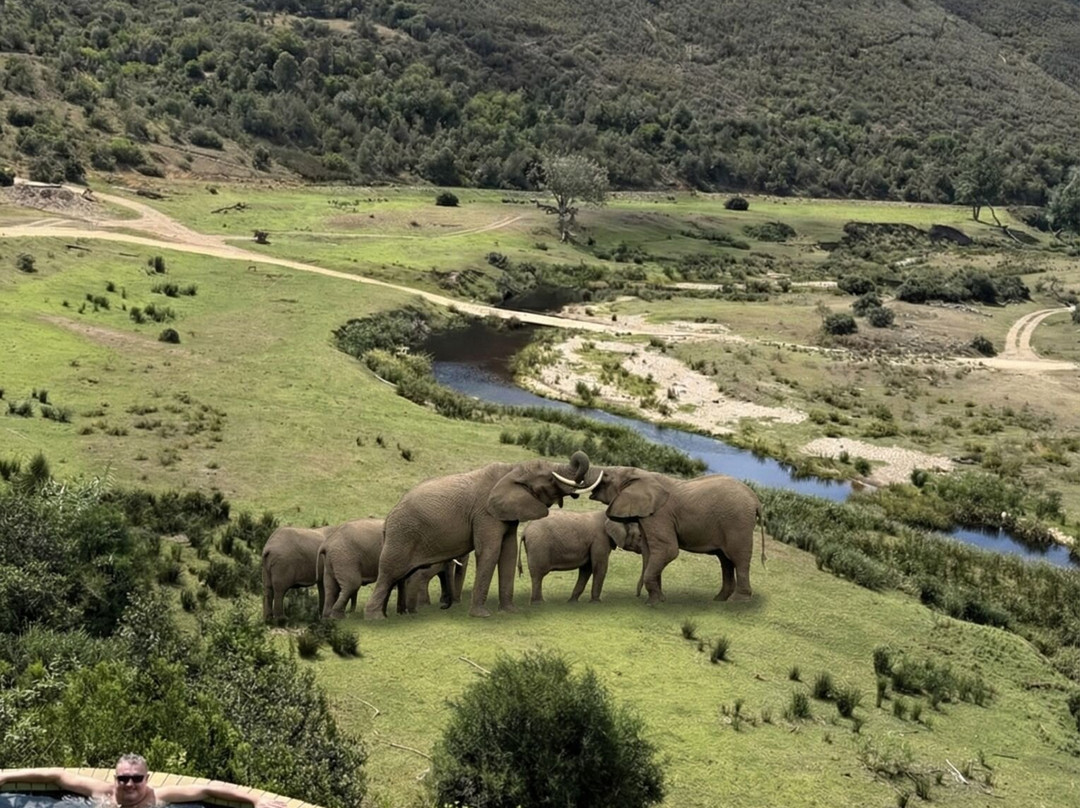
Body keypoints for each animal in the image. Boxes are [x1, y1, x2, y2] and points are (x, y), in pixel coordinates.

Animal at [365, 451, 600, 619]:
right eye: (549, 478)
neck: (512, 469)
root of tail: (387, 520)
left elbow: (508, 553)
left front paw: (510, 611)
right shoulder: (485, 513)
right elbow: (490, 551)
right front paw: (481, 615)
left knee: (399, 576)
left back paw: (394, 614)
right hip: (402, 535)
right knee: (389, 572)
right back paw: (376, 619)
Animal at [587, 467, 766, 605]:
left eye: (606, 476)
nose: (636, 595)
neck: (643, 475)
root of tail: (756, 500)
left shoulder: (659, 515)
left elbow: (668, 550)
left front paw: (652, 603)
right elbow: (650, 552)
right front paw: (658, 600)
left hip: (738, 523)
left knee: (738, 559)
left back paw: (737, 602)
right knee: (725, 560)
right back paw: (719, 599)